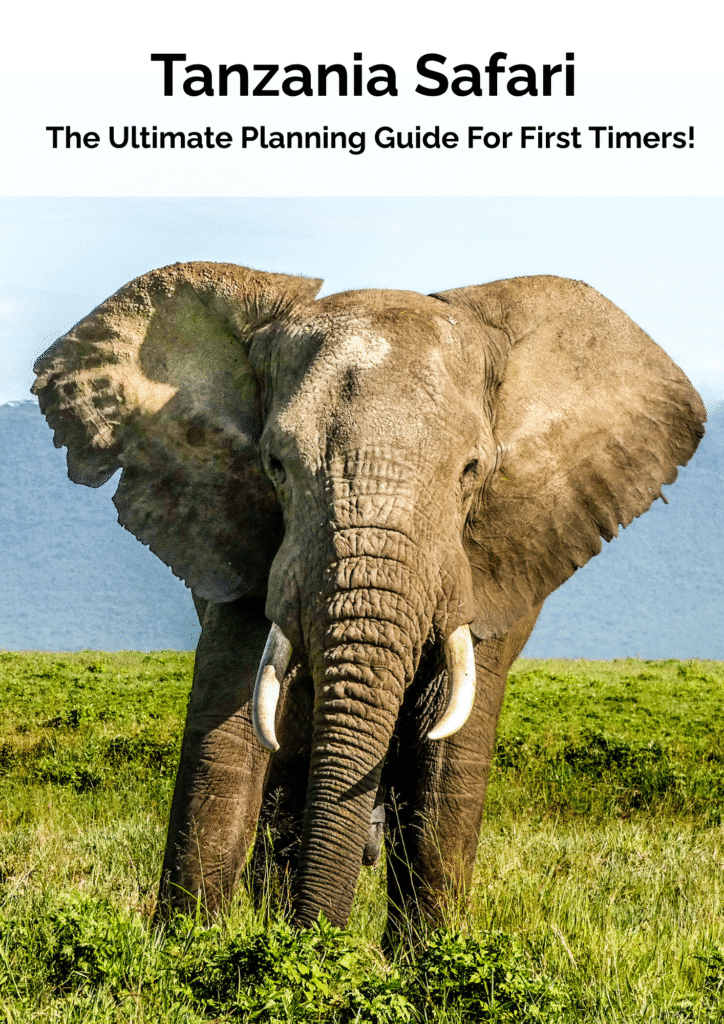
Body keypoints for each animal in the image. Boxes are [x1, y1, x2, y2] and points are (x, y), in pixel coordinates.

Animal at [32, 262, 705, 937]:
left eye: (471, 470)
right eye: (275, 465)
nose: (318, 940)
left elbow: (448, 752)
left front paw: (428, 958)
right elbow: (229, 728)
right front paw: (192, 947)